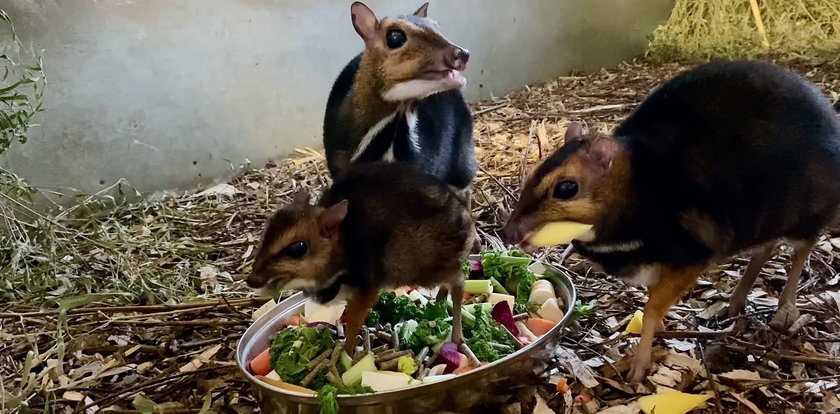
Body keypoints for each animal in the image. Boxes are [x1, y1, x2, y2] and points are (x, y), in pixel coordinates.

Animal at [246, 162, 476, 352]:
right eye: (265, 234)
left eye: (297, 248)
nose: (252, 280)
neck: (344, 247)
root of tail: (467, 216)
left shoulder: (367, 290)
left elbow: (354, 323)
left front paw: (345, 354)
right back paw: (438, 303)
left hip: (427, 267)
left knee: (459, 283)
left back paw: (457, 337)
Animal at [498, 59, 840, 384]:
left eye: (566, 188)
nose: (509, 233)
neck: (638, 192)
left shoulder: (692, 256)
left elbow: (651, 310)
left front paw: (639, 366)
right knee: (765, 247)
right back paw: (736, 300)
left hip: (807, 215)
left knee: (802, 249)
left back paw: (785, 308)